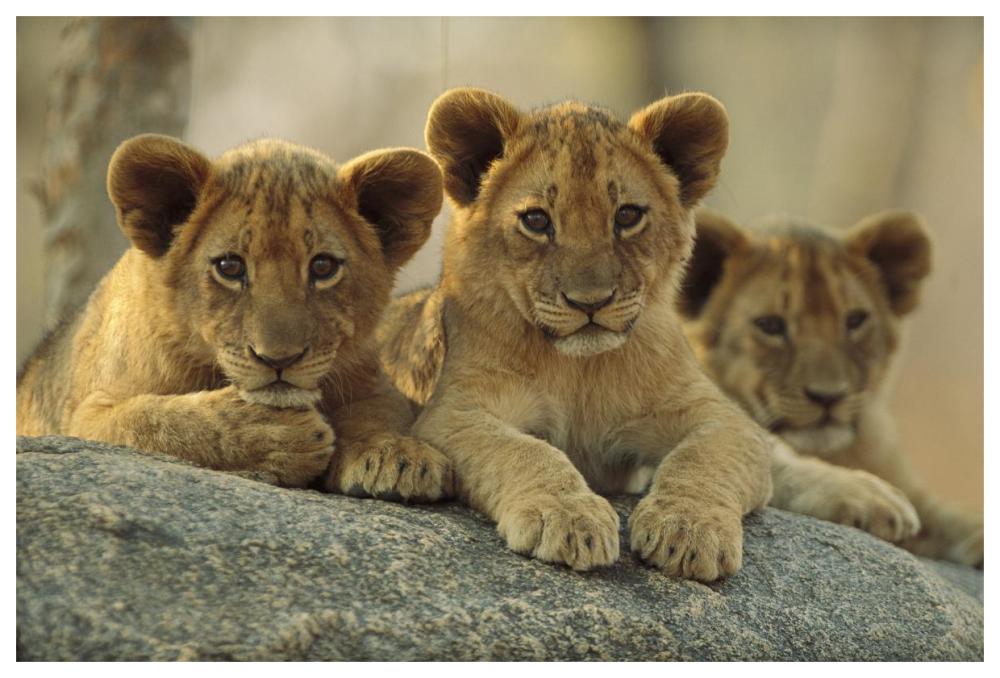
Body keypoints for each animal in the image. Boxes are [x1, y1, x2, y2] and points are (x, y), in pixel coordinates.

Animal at [17, 134, 453, 500]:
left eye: (323, 266)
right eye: (229, 267)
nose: (279, 359)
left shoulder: (374, 384)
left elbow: (378, 413)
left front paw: (395, 455)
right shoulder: (87, 416)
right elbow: (155, 421)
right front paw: (274, 435)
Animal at [377, 88, 774, 581]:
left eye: (627, 216)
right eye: (536, 220)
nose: (590, 302)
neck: (578, 371)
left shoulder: (725, 418)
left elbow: (702, 458)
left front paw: (688, 527)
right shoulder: (452, 412)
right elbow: (524, 451)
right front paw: (568, 517)